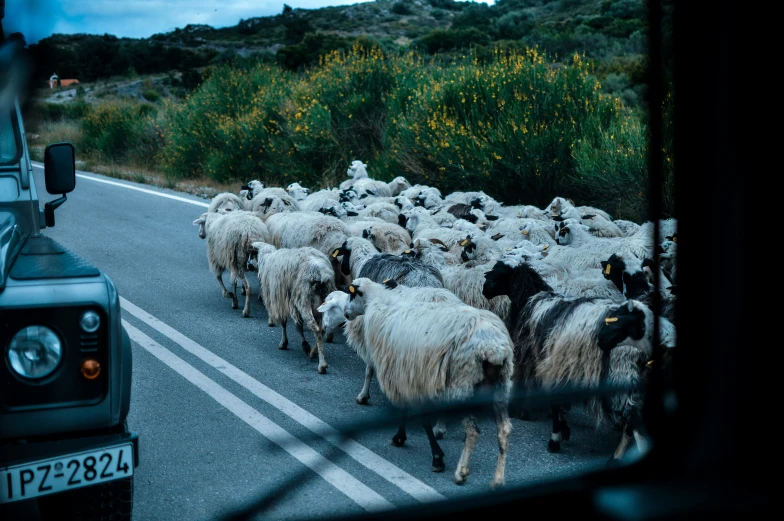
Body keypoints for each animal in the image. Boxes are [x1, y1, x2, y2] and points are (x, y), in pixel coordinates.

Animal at [250, 242, 336, 372]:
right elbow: (298, 325)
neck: (266, 259)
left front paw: (285, 343)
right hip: (324, 299)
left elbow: (288, 324)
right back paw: (314, 351)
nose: (248, 266)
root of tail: (320, 272)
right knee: (321, 328)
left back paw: (322, 364)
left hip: (303, 299)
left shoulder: (281, 301)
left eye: (250, 255)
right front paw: (304, 346)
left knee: (315, 328)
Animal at [344, 278, 516, 486]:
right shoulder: (409, 377)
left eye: (351, 294)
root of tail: (493, 347)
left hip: (464, 385)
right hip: (500, 385)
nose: (345, 313)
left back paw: (461, 472)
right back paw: (498, 479)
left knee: (473, 431)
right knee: (504, 431)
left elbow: (421, 418)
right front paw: (402, 437)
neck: (381, 304)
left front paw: (436, 458)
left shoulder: (408, 377)